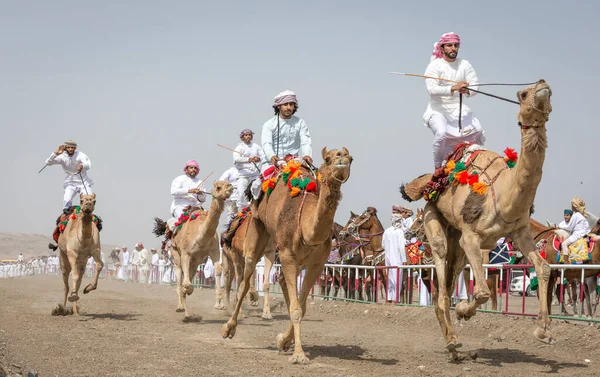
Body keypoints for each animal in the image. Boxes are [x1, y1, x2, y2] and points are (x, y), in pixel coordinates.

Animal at [165, 179, 233, 318]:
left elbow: (218, 270)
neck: (201, 235)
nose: (230, 186)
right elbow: (186, 283)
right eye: (218, 187)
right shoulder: (186, 254)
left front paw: (219, 304)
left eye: (227, 183)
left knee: (189, 275)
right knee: (179, 275)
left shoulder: (214, 251)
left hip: (195, 263)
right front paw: (186, 294)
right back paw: (180, 306)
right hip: (175, 254)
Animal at [220, 146, 352, 362]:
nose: (342, 158)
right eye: (328, 158)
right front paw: (299, 355)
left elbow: (301, 306)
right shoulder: (288, 256)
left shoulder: (317, 264)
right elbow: (296, 308)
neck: (306, 227)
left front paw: (283, 340)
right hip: (257, 231)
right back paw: (228, 328)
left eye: (351, 157)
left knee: (280, 281)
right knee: (244, 282)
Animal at [400, 80, 556, 356]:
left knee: (450, 279)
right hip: (432, 216)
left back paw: (452, 345)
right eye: (522, 94)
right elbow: (482, 291)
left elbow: (544, 267)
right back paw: (452, 341)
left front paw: (543, 332)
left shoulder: (520, 232)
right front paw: (464, 311)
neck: (504, 194)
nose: (542, 84)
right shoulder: (471, 235)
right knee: (441, 276)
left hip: (457, 240)